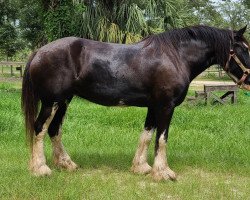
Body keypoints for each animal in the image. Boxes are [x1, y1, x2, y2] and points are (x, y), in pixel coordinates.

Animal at [22, 25, 250, 181]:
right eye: (243, 48)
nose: (249, 80)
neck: (175, 56)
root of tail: (39, 52)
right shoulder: (166, 106)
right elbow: (162, 138)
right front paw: (163, 172)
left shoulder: (153, 106)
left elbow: (147, 135)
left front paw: (141, 167)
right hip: (52, 102)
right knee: (40, 128)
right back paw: (40, 169)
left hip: (64, 101)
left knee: (54, 130)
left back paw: (67, 164)